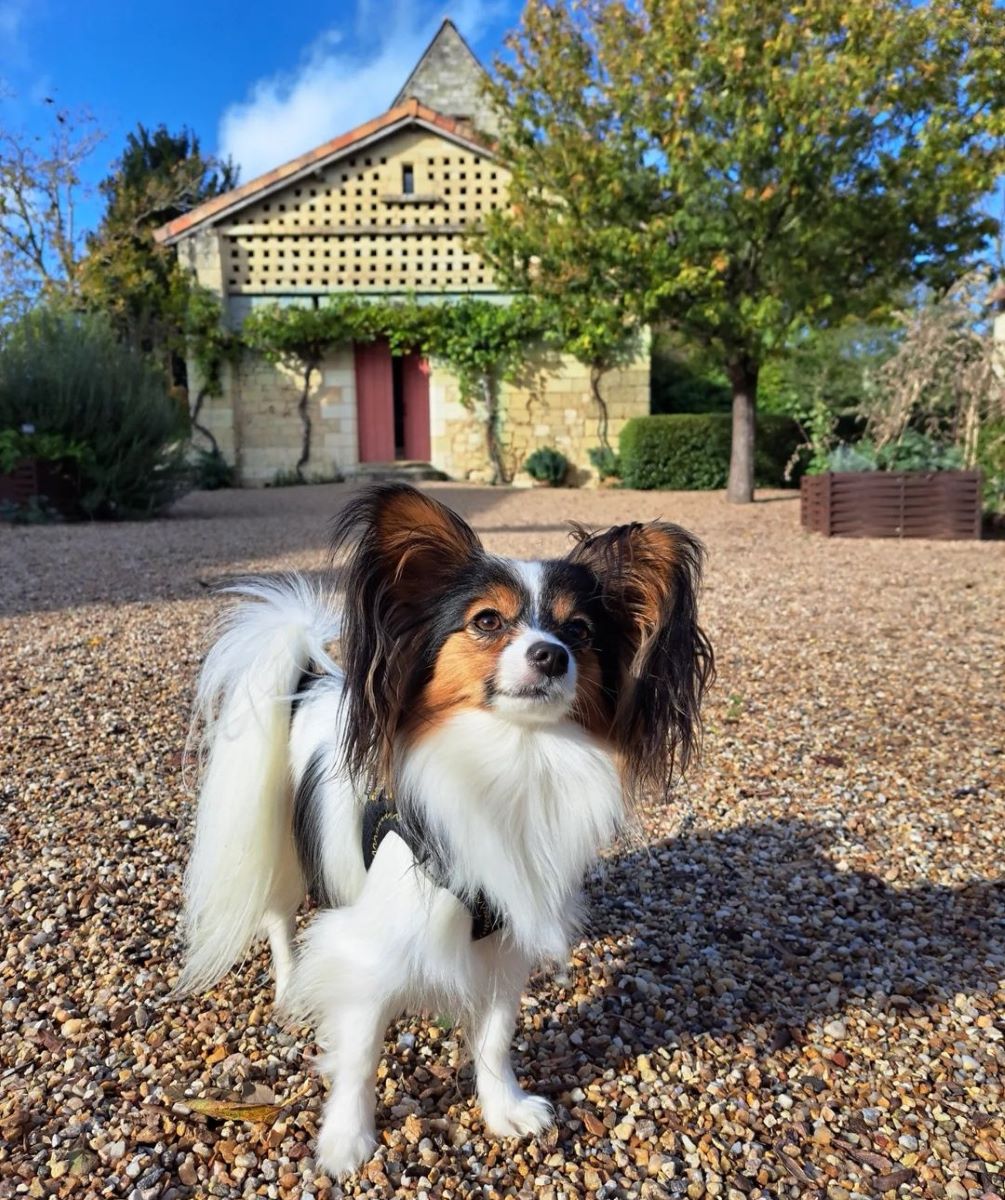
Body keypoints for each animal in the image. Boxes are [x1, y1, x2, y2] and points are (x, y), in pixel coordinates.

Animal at [181, 482, 714, 1176]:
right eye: (487, 621)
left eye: (579, 631)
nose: (551, 655)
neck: (514, 757)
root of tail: (309, 681)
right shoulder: (372, 949)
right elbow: (359, 1054)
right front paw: (346, 1141)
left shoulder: (503, 945)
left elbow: (495, 1039)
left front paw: (504, 1109)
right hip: (278, 849)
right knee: (277, 918)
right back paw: (292, 985)